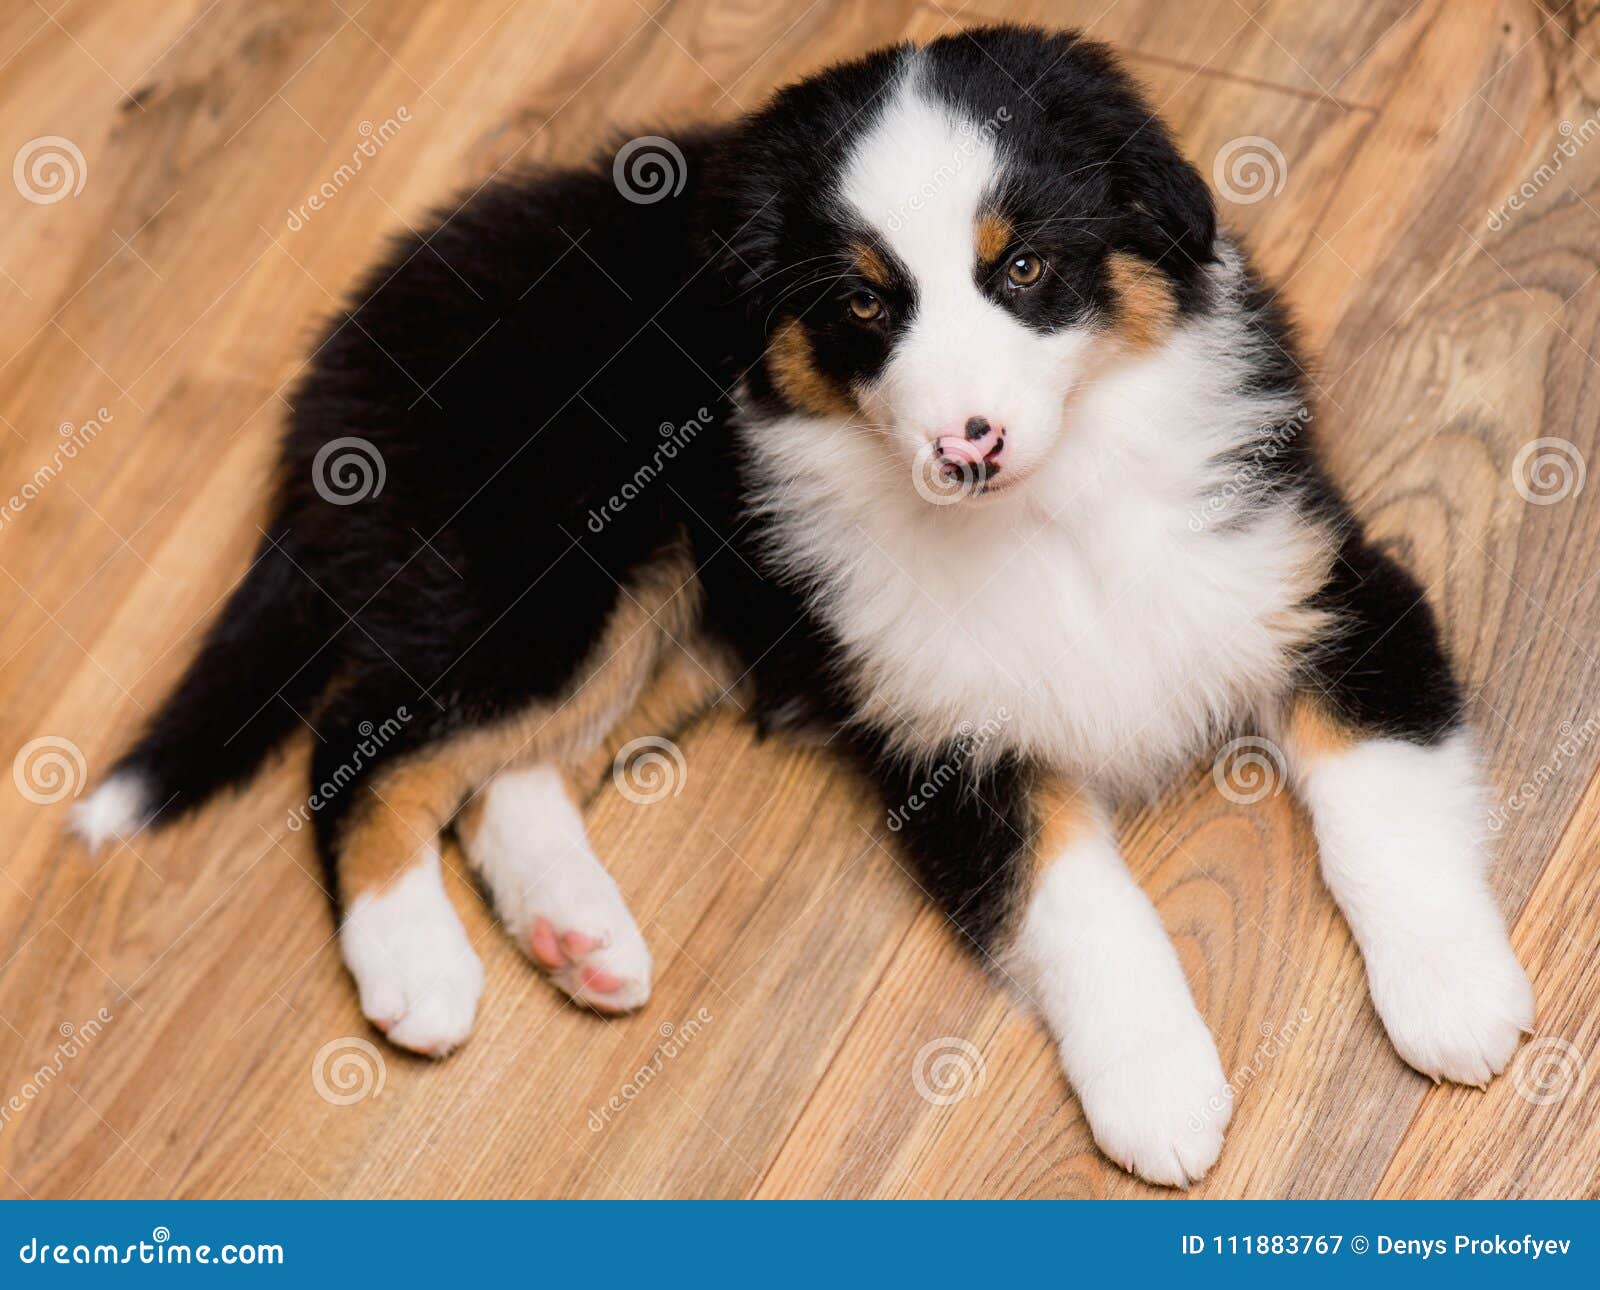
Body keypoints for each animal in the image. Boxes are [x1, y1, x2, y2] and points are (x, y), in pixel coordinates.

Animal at [78, 22, 1536, 1190]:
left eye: (1024, 270)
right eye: (862, 304)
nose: (964, 445)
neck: (1051, 513)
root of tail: (345, 347)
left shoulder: (1324, 584)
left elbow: (1381, 803)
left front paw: (1451, 992)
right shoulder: (945, 735)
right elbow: (1079, 904)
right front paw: (1158, 1087)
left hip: (682, 606)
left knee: (502, 777)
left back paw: (576, 935)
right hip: (558, 571)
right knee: (362, 745)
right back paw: (416, 969)